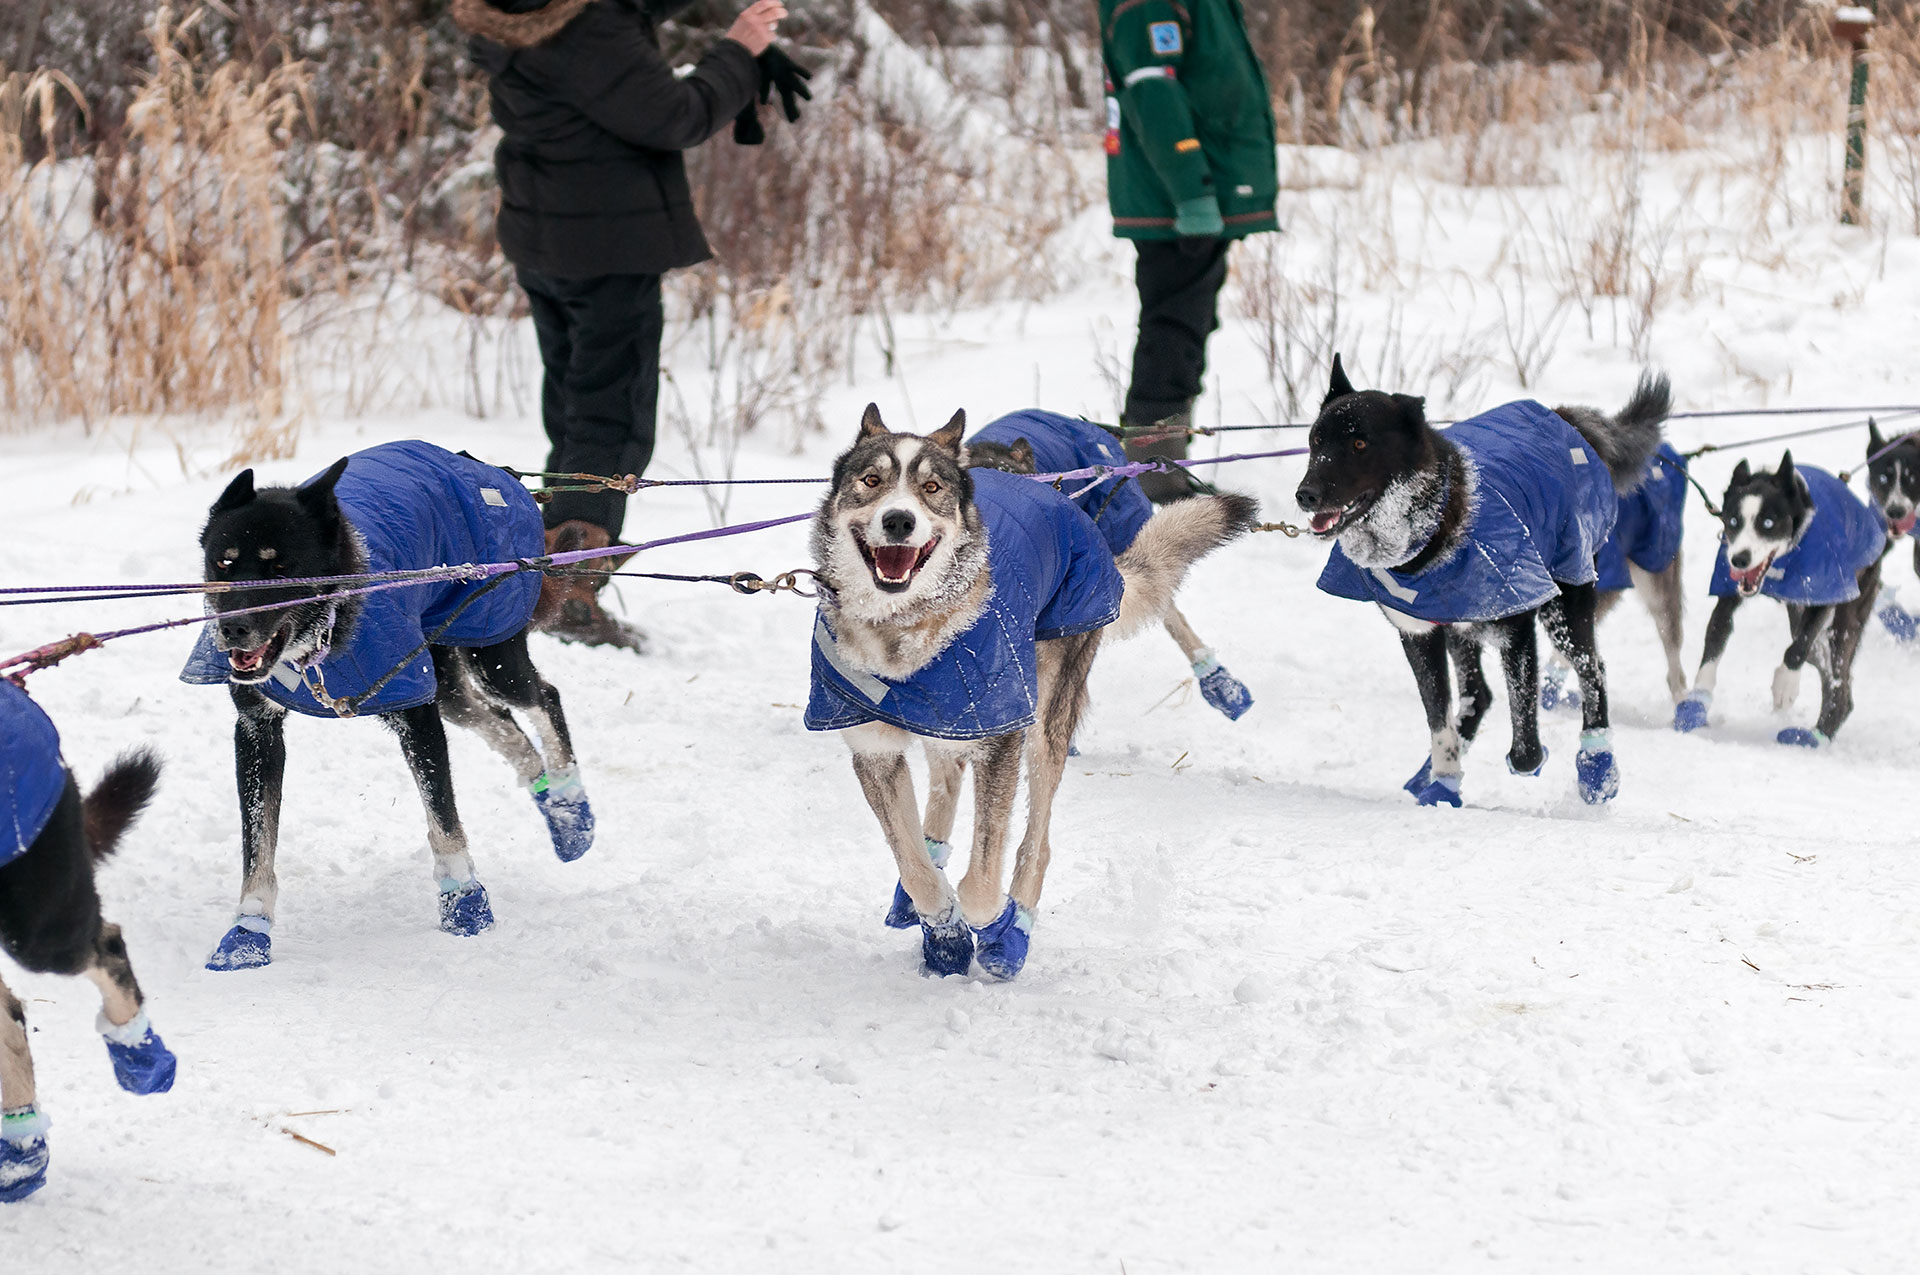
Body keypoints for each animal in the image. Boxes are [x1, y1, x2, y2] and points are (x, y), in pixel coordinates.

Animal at [184, 437, 599, 967]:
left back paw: (572, 809)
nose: (232, 628)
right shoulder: (257, 731)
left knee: (542, 697)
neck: (323, 635)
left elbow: (443, 819)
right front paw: (248, 930)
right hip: (445, 686)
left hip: (492, 655)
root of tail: (488, 468)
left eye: (280, 568)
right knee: (508, 731)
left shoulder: (415, 715)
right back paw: (557, 812)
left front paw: (465, 903)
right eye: (225, 562)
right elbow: (258, 843)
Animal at [798, 405, 1259, 975]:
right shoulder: (876, 749)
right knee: (945, 790)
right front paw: (944, 930)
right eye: (871, 481)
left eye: (931, 487)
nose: (899, 520)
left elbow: (981, 882)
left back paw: (1016, 922)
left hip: (1044, 719)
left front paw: (992, 922)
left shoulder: (1000, 737)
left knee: (1036, 839)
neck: (903, 628)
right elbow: (916, 868)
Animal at [1297, 353, 1674, 802]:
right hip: (1463, 630)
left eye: (1359, 444)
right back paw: (1435, 778)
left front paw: (1536, 759)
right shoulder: (1419, 635)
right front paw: (1445, 776)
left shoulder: (1516, 632)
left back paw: (1598, 766)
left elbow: (1527, 746)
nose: (1306, 494)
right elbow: (1439, 721)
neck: (1433, 524)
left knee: (1591, 667)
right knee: (1480, 694)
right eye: (1316, 441)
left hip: (1565, 605)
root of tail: (1564, 418)